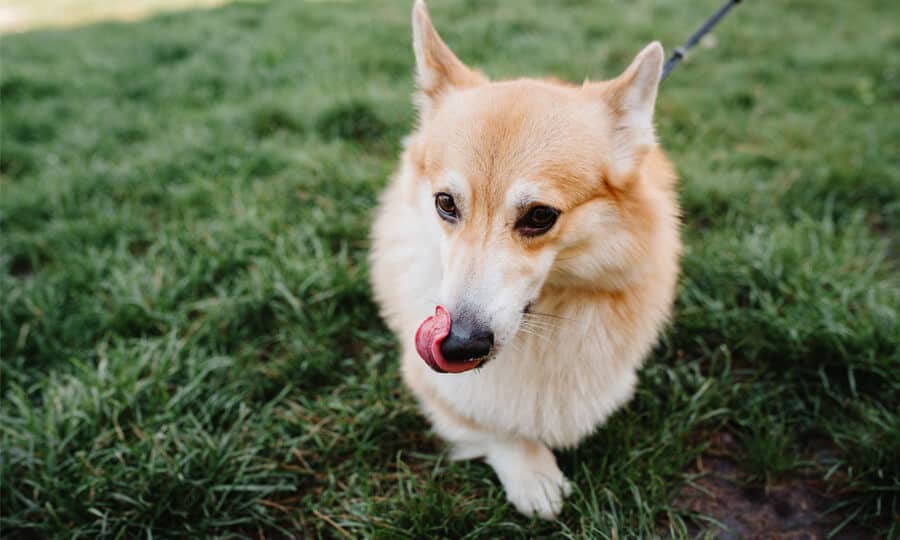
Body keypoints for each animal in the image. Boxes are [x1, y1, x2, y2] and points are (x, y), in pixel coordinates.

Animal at [370, 0, 680, 520]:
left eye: (540, 216)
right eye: (445, 203)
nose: (459, 345)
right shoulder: (431, 386)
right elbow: (494, 423)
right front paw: (532, 470)